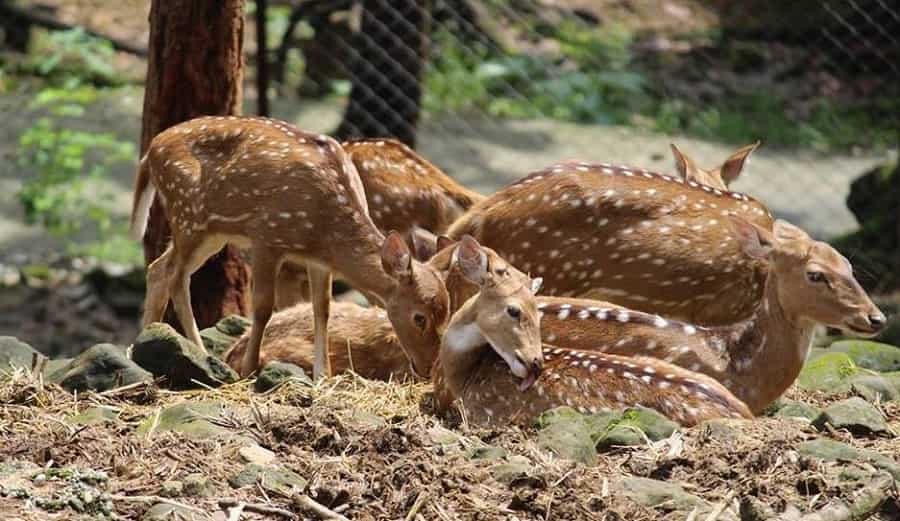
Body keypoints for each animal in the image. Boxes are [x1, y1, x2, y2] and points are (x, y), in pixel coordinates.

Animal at [130, 116, 451, 379]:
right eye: (419, 317)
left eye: (446, 315)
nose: (427, 368)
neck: (324, 230)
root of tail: (150, 151)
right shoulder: (267, 237)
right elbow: (262, 307)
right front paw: (249, 369)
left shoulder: (318, 260)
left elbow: (321, 308)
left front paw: (323, 376)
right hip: (188, 215)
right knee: (176, 276)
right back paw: (200, 352)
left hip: (210, 232)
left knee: (159, 269)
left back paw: (145, 343)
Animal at [432, 234, 752, 427]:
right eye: (514, 310)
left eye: (538, 312)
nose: (536, 363)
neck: (466, 376)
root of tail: (746, 414)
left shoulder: (484, 415)